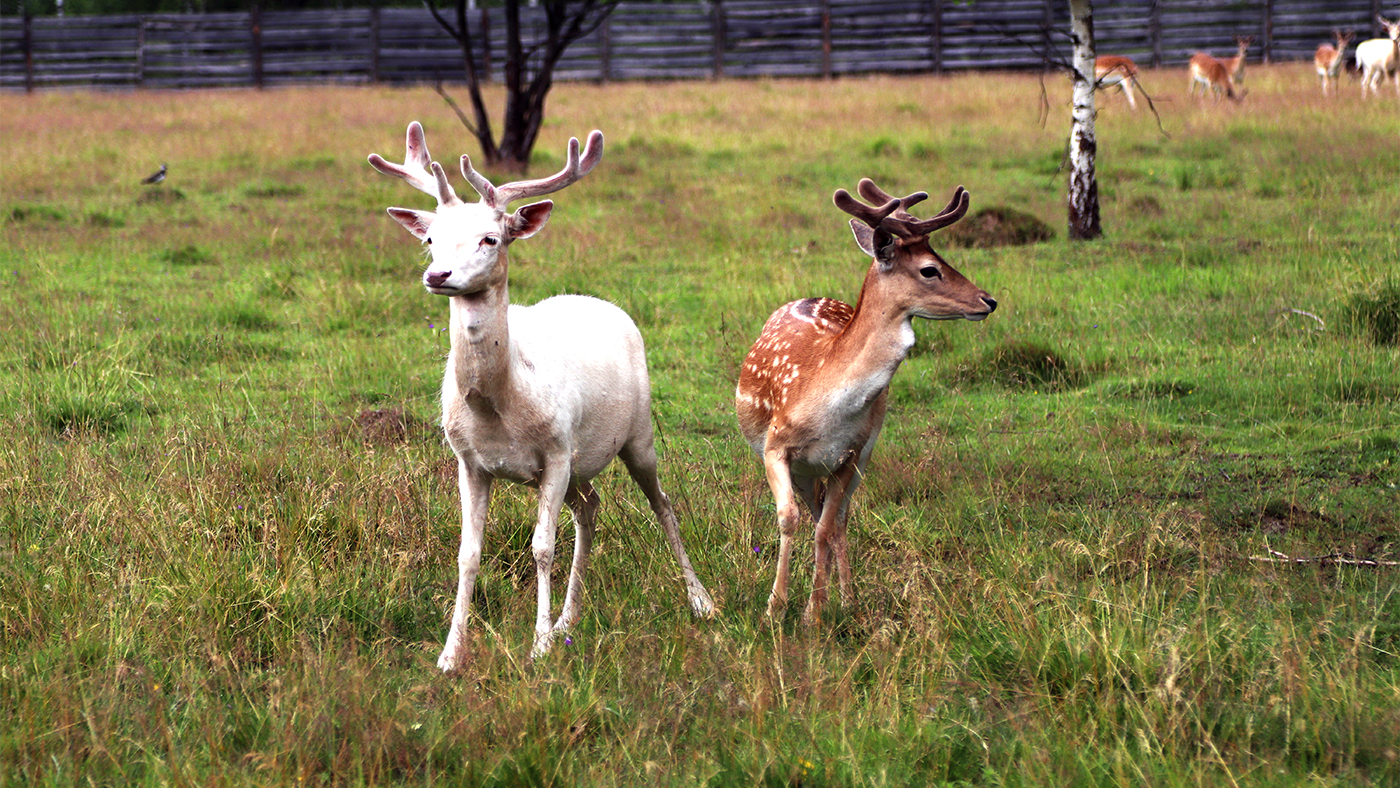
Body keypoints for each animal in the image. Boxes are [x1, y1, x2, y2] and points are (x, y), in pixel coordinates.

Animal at [366, 121, 716, 671]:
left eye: (490, 237)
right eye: (430, 239)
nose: (438, 275)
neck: (499, 406)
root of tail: (602, 303)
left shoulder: (555, 448)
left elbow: (541, 548)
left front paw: (536, 648)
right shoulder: (469, 460)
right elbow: (468, 552)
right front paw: (451, 654)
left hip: (635, 433)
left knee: (661, 502)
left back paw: (700, 602)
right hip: (576, 464)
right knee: (590, 507)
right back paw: (568, 621)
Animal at [733, 181, 996, 627]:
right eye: (930, 269)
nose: (987, 301)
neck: (825, 404)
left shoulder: (852, 453)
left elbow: (825, 528)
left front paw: (815, 611)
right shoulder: (775, 447)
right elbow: (789, 518)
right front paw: (775, 607)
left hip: (860, 456)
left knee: (837, 517)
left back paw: (848, 597)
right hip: (805, 469)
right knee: (817, 511)